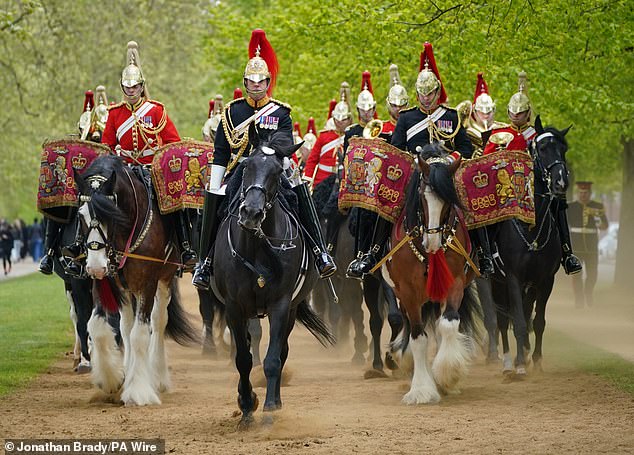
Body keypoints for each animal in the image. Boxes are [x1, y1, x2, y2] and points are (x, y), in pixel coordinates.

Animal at [75, 155, 198, 404]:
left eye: (110, 213)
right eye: (80, 215)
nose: (95, 265)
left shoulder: (146, 284)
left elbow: (140, 334)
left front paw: (139, 390)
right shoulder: (108, 282)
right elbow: (98, 327)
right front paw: (112, 379)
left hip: (164, 279)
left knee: (158, 322)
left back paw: (157, 377)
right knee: (125, 326)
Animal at [211, 132, 334, 432]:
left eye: (278, 172)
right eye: (246, 166)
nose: (251, 214)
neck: (258, 248)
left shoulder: (280, 305)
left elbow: (273, 360)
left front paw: (268, 410)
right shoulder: (234, 307)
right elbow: (243, 359)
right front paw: (246, 406)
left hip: (291, 309)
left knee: (283, 351)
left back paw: (276, 402)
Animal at [380, 144, 478, 404]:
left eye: (448, 200)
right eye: (422, 197)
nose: (432, 242)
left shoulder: (454, 283)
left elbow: (449, 324)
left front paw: (448, 375)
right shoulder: (407, 292)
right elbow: (418, 337)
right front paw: (422, 389)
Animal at [486, 117, 572, 378]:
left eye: (564, 149)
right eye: (542, 149)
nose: (561, 182)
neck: (531, 227)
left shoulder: (545, 280)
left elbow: (538, 321)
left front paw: (536, 360)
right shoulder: (513, 277)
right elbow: (518, 321)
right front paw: (520, 364)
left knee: (523, 312)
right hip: (496, 281)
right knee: (503, 319)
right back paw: (507, 362)